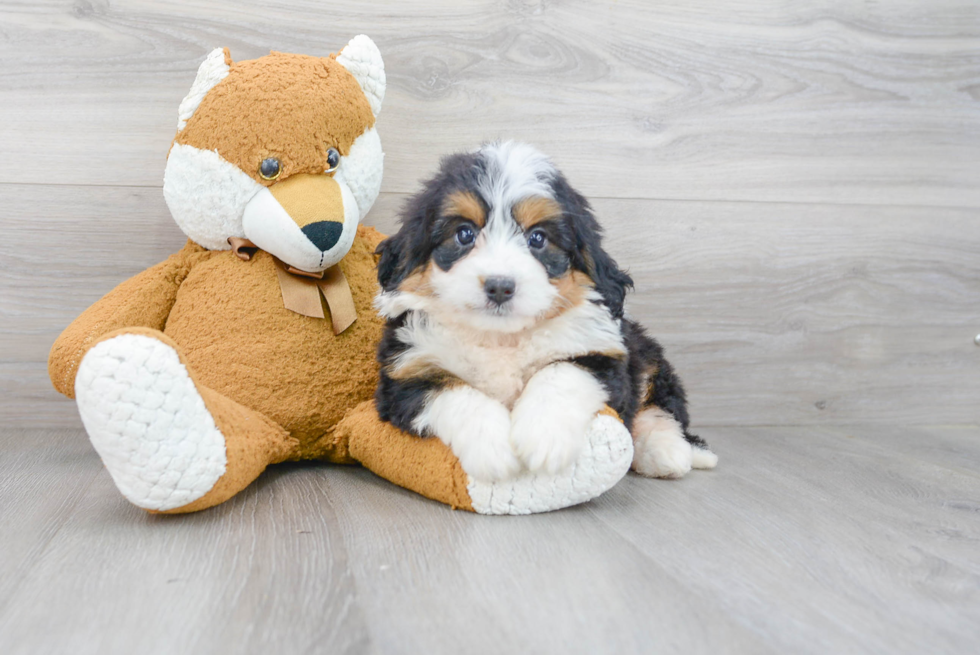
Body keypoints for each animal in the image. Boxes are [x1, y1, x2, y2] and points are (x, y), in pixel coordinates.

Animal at [372, 142, 716, 482]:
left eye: (537, 238)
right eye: (464, 234)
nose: (500, 286)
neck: (500, 339)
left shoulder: (601, 356)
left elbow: (560, 373)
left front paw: (544, 437)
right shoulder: (407, 373)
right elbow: (456, 393)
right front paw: (492, 448)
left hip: (646, 353)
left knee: (660, 406)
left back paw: (670, 452)